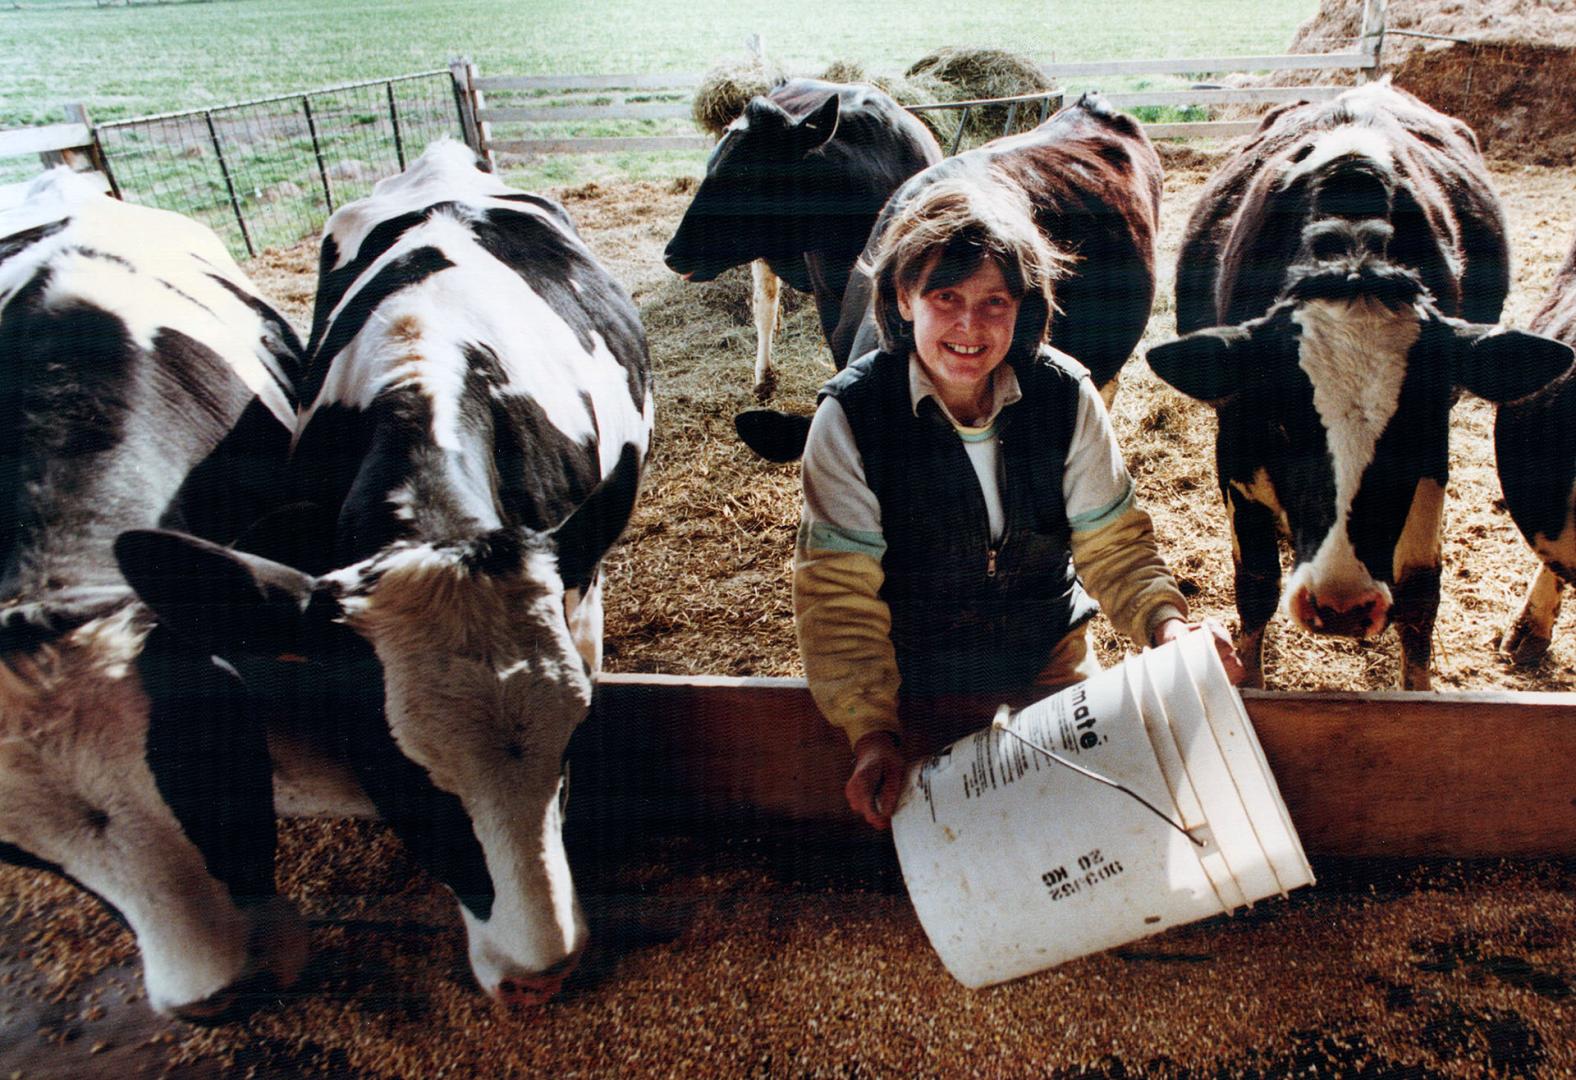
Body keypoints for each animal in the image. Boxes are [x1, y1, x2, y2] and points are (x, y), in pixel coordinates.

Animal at [1147, 84, 1576, 690]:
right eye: (1281, 422)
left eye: (1411, 426)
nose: (1341, 605)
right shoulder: (1235, 439)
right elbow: (1255, 584)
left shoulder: (1433, 453)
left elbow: (1419, 593)